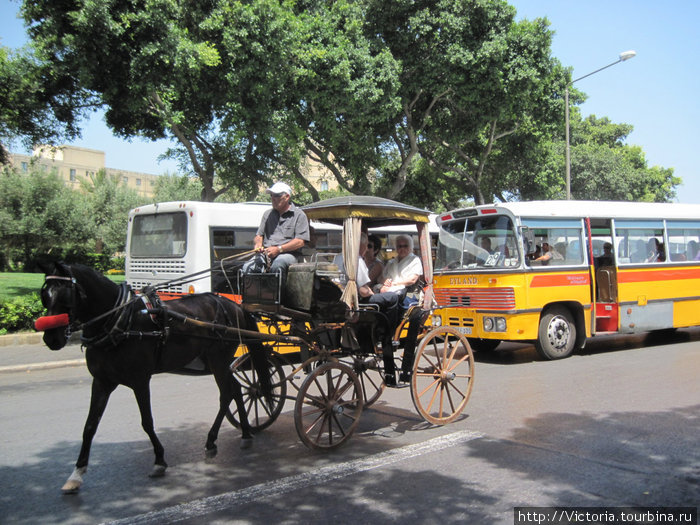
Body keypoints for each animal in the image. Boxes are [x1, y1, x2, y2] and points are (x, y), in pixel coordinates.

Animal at [36, 262, 270, 492]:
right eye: (44, 296)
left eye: (66, 297)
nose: (51, 339)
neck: (121, 321)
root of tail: (233, 305)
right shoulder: (102, 382)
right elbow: (89, 426)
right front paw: (76, 473)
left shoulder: (140, 380)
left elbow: (147, 422)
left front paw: (159, 460)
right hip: (214, 362)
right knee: (236, 390)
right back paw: (246, 433)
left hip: (218, 359)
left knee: (226, 395)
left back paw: (212, 440)